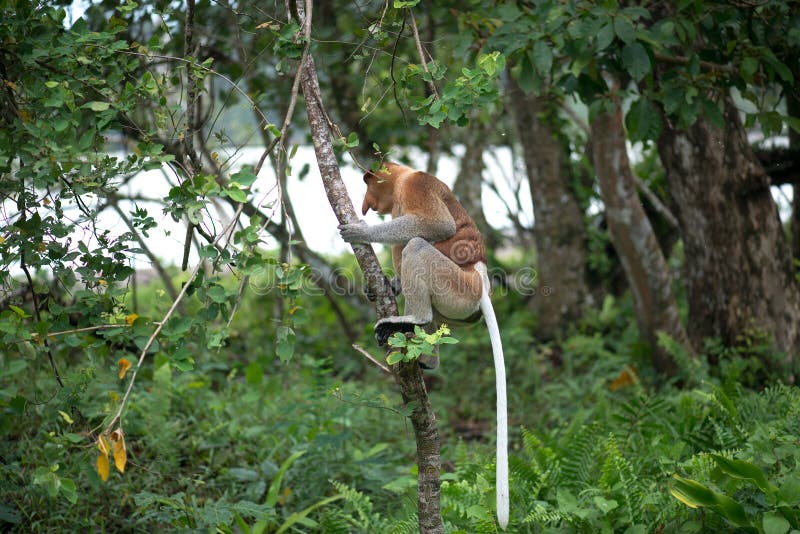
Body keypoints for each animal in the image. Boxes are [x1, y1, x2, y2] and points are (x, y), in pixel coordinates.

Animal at [340, 162, 510, 532]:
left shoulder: (418, 185)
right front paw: (387, 284)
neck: (403, 179)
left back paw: (411, 319)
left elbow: (438, 226)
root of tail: (481, 282)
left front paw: (358, 231)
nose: (365, 206)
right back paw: (426, 358)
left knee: (415, 245)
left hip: (457, 287)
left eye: (369, 185)